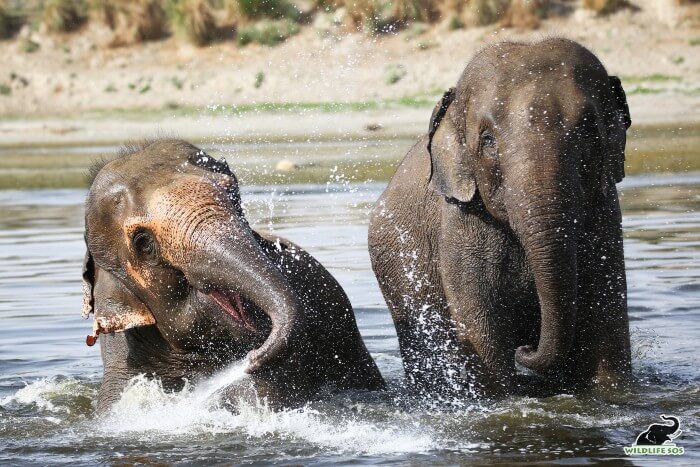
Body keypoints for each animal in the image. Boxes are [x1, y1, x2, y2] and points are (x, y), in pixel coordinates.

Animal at [370, 38, 632, 400]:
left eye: (590, 132)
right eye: (487, 140)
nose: (525, 349)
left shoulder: (604, 216)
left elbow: (606, 325)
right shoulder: (462, 224)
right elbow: (482, 328)